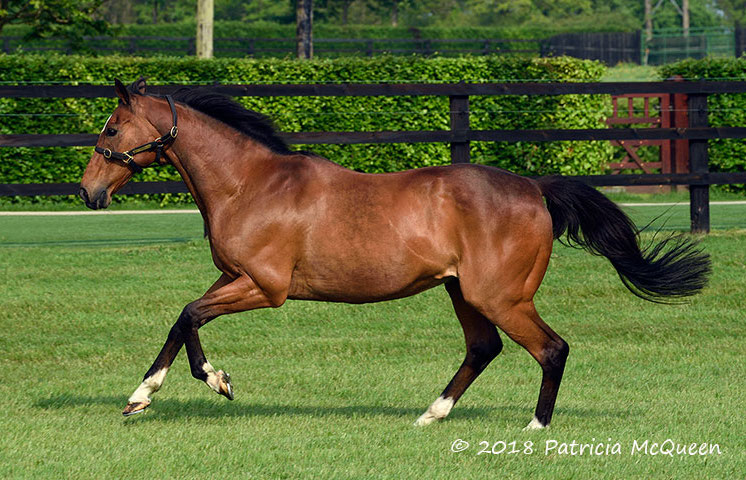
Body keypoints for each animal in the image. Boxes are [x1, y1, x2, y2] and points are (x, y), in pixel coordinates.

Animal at [78, 79, 708, 428]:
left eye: (111, 127)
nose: (88, 193)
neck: (250, 183)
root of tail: (535, 189)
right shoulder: (233, 277)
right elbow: (183, 321)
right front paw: (148, 396)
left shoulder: (265, 286)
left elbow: (188, 316)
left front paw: (209, 383)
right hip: (463, 292)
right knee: (484, 348)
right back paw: (431, 414)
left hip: (499, 296)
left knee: (551, 349)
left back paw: (534, 428)